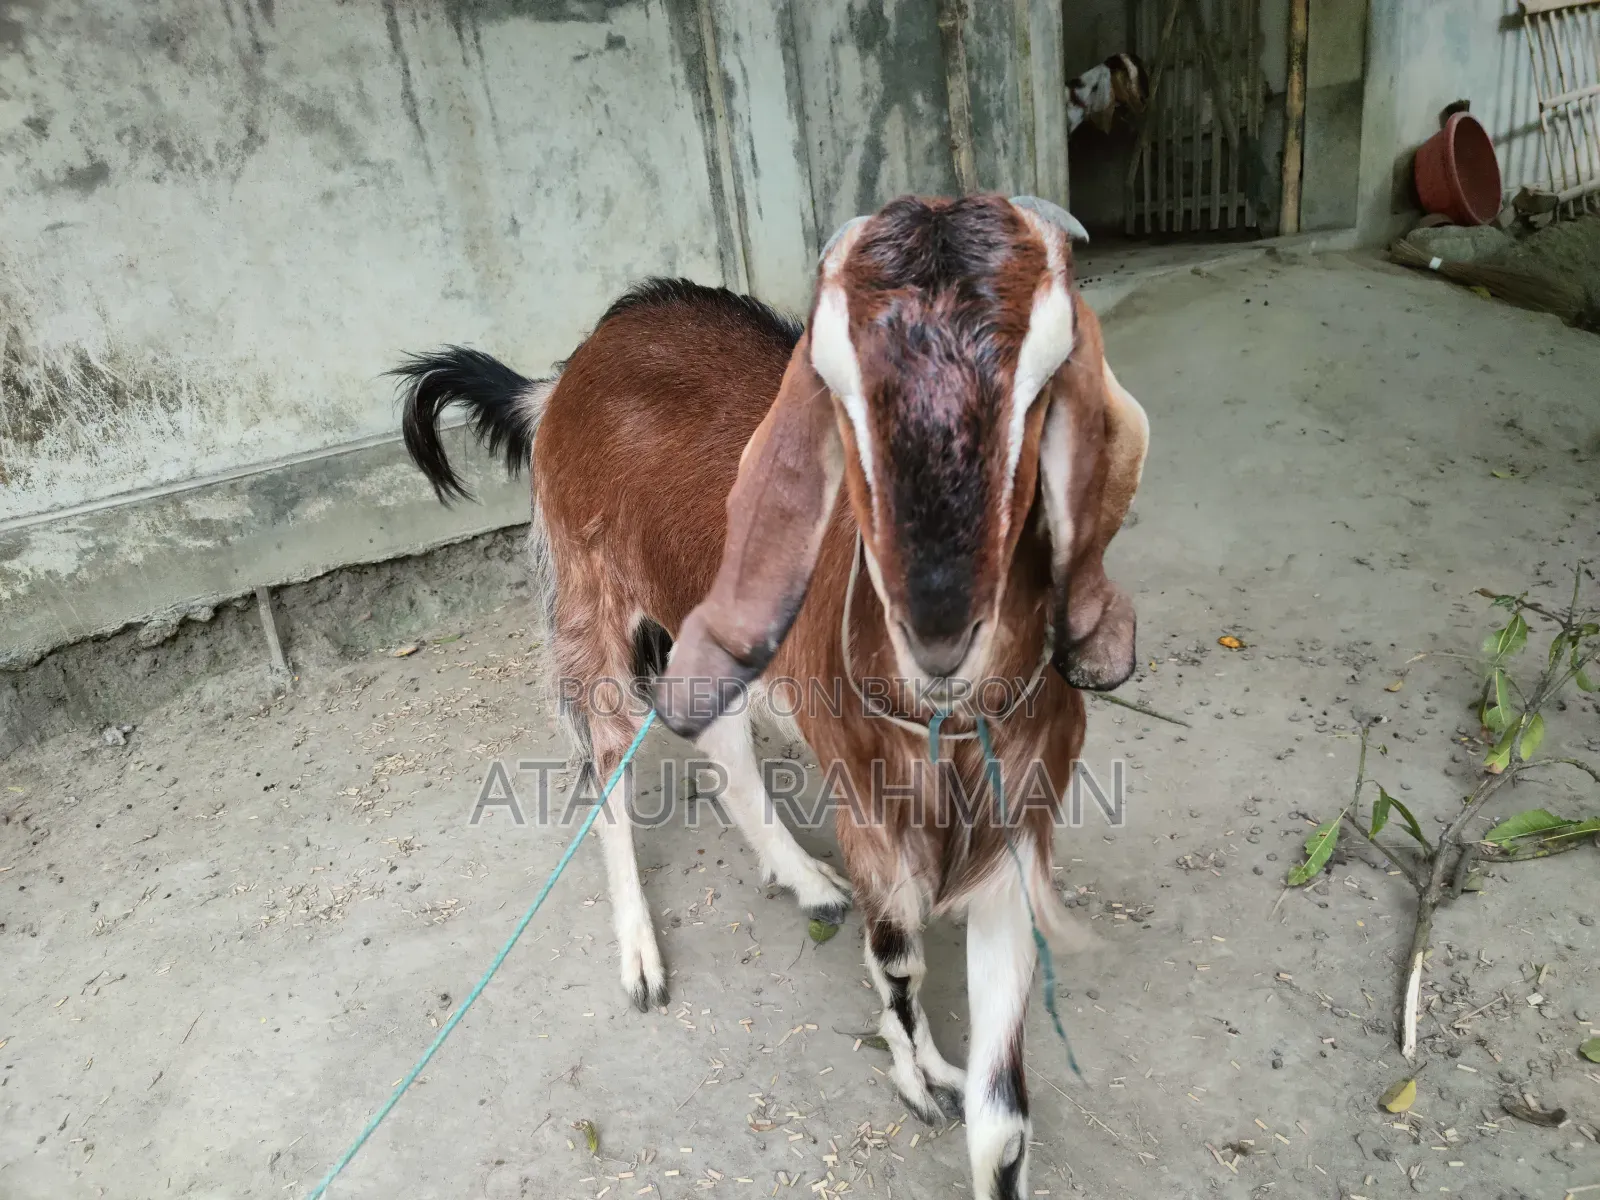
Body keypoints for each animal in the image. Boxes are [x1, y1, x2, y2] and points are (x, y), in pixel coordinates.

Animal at [395, 193, 1149, 1200]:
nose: (940, 602)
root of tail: (561, 376)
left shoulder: (1012, 830)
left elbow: (1003, 1120)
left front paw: (953, 1086)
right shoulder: (875, 814)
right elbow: (898, 963)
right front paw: (918, 1077)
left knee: (716, 736)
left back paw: (802, 879)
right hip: (589, 600)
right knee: (605, 760)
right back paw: (643, 958)